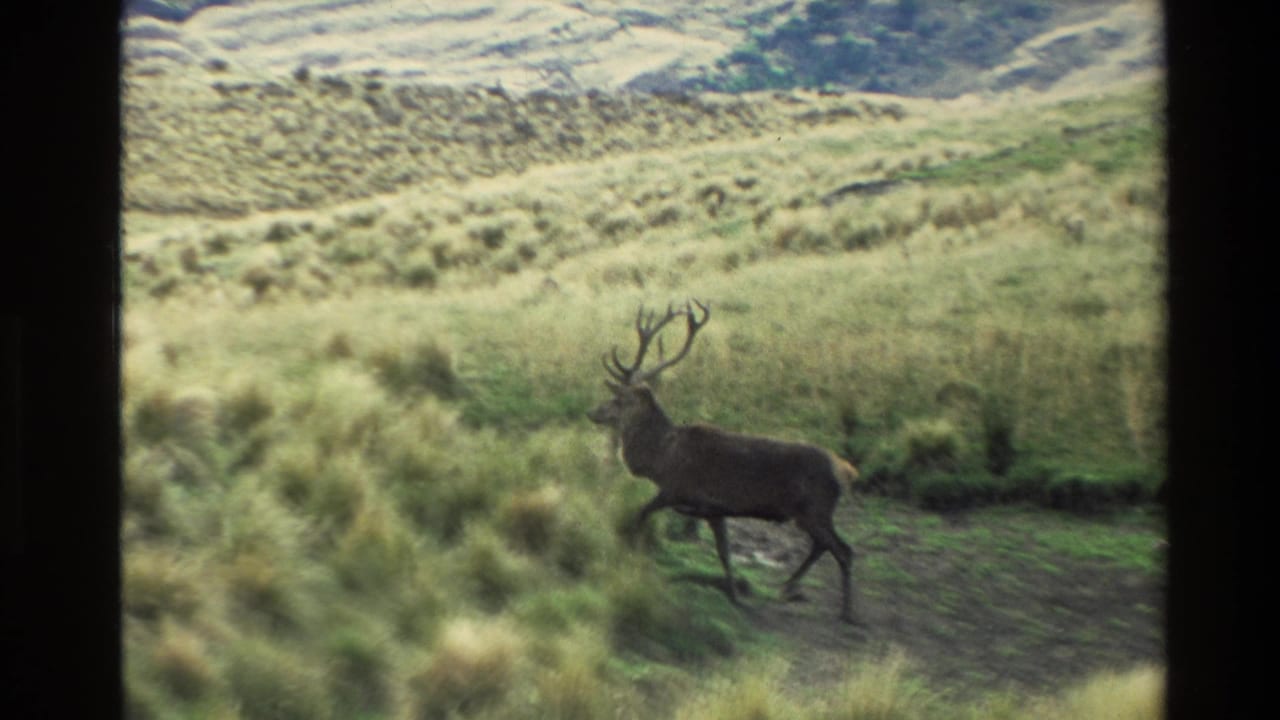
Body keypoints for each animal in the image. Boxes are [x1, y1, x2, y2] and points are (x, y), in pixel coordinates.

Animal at [587, 300, 861, 624]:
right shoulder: (714, 509)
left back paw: (846, 611)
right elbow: (724, 552)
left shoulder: (677, 490)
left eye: (618, 400)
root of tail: (846, 471)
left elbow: (640, 514)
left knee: (843, 550)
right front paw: (734, 595)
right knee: (824, 546)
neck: (661, 458)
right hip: (810, 513)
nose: (592, 412)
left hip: (815, 509)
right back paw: (788, 586)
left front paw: (629, 550)